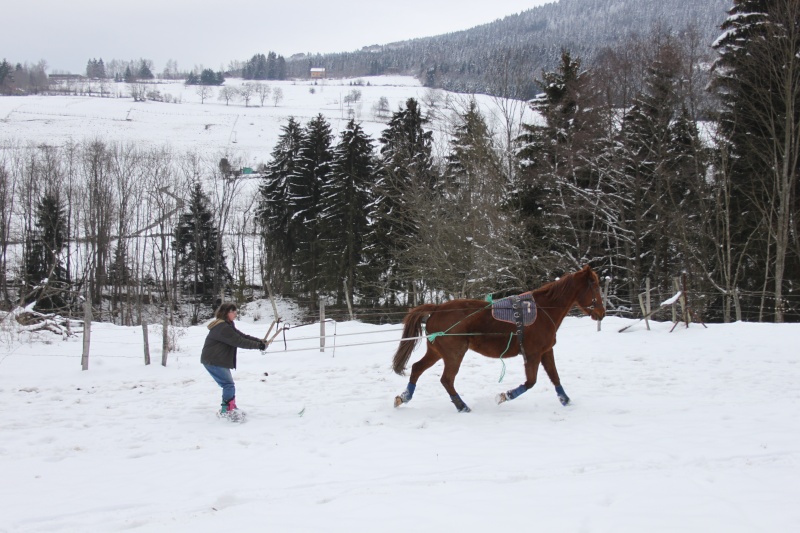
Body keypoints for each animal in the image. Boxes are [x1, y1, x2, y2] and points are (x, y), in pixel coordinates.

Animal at [390, 264, 604, 412]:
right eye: (594, 286)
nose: (601, 313)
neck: (543, 310)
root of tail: (436, 309)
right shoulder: (533, 354)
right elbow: (530, 382)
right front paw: (504, 395)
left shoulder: (546, 351)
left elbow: (554, 377)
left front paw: (565, 400)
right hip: (454, 354)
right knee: (446, 380)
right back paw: (462, 406)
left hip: (436, 352)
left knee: (417, 368)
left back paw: (404, 397)